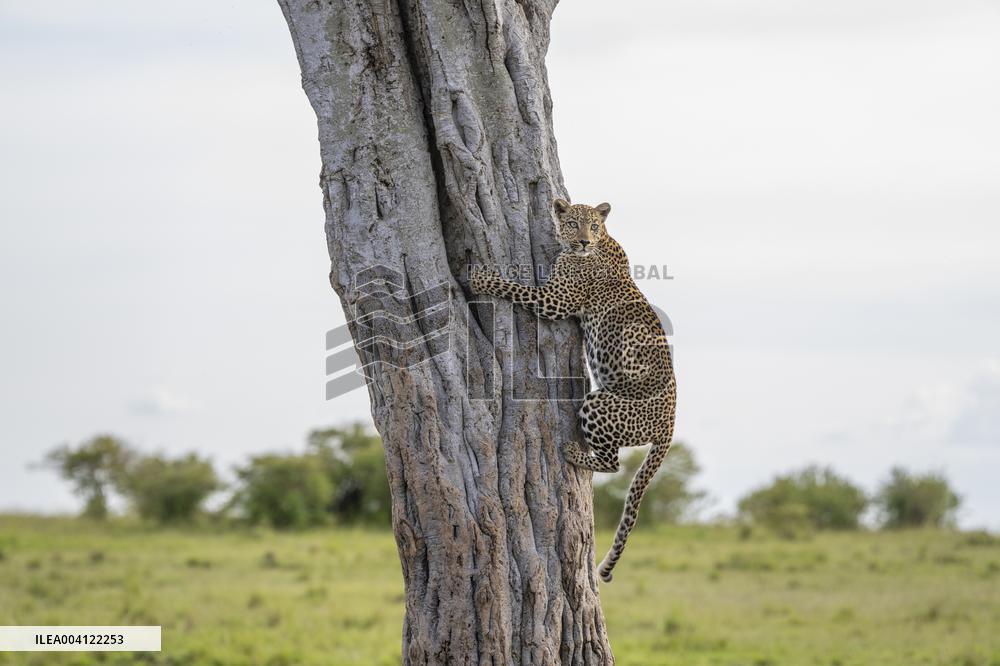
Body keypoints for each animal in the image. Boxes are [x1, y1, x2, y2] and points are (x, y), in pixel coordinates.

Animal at [469, 198, 677, 582]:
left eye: (593, 226)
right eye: (574, 224)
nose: (582, 241)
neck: (603, 241)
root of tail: (670, 425)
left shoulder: (555, 301)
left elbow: (514, 288)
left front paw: (480, 278)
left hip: (600, 403)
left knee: (612, 463)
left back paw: (571, 452)